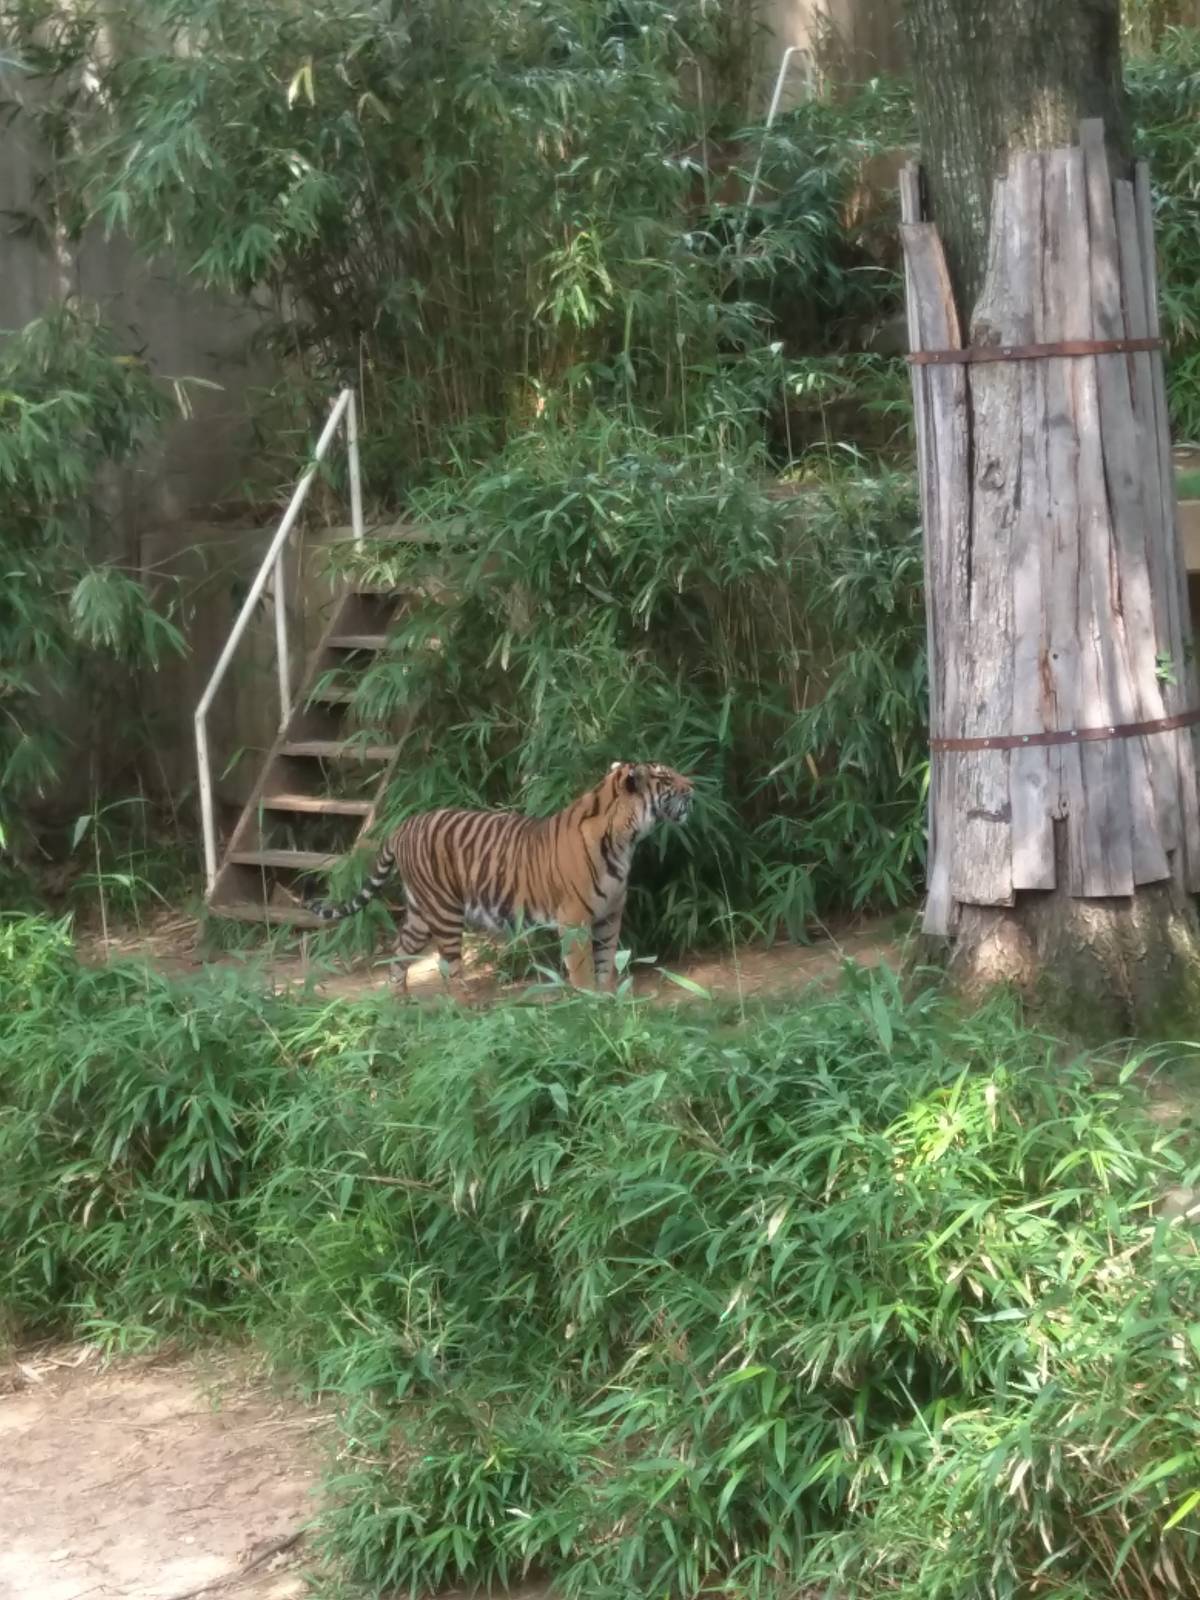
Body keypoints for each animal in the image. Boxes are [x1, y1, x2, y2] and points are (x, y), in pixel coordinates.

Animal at [308, 761, 694, 993]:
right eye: (666, 778)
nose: (693, 786)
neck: (625, 839)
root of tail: (404, 825)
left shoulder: (609, 916)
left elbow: (607, 965)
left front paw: (610, 1003)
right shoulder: (575, 920)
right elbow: (584, 970)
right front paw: (590, 1007)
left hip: (419, 911)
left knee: (399, 952)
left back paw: (399, 1006)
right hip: (444, 912)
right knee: (450, 971)